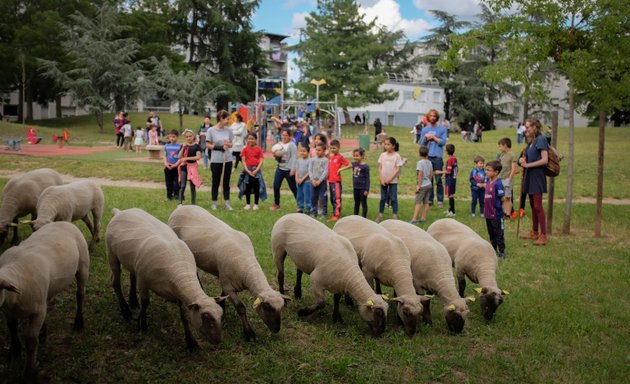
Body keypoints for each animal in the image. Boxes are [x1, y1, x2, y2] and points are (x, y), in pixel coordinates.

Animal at [0, 220, 90, 382]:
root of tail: (64, 222)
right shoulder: (8, 312)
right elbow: (12, 328)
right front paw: (14, 352)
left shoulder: (37, 312)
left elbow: (31, 342)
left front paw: (30, 373)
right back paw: (44, 332)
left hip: (83, 266)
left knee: (80, 295)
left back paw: (78, 322)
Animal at [107, 208, 226, 350]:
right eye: (206, 317)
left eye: (221, 314)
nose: (218, 340)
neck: (181, 271)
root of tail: (120, 211)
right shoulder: (143, 282)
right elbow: (145, 303)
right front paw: (142, 324)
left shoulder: (178, 292)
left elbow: (184, 316)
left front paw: (191, 342)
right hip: (111, 253)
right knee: (115, 282)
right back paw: (125, 311)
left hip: (133, 261)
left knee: (132, 276)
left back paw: (133, 301)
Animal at [167, 206, 288, 340]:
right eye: (267, 307)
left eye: (282, 307)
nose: (276, 329)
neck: (246, 268)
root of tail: (181, 207)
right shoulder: (228, 285)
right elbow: (241, 308)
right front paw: (249, 334)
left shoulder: (225, 280)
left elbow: (223, 294)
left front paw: (222, 306)